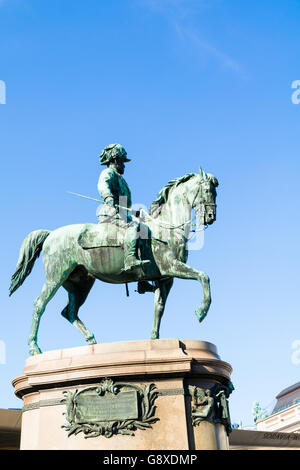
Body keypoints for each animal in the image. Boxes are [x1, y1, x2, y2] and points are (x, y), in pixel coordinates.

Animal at [8, 167, 218, 354]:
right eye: (208, 190)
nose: (211, 217)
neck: (166, 228)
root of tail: (51, 234)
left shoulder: (165, 278)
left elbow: (159, 308)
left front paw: (155, 340)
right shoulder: (172, 267)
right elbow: (204, 276)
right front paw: (202, 311)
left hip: (80, 284)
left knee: (69, 312)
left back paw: (92, 342)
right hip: (56, 277)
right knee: (39, 305)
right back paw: (34, 348)